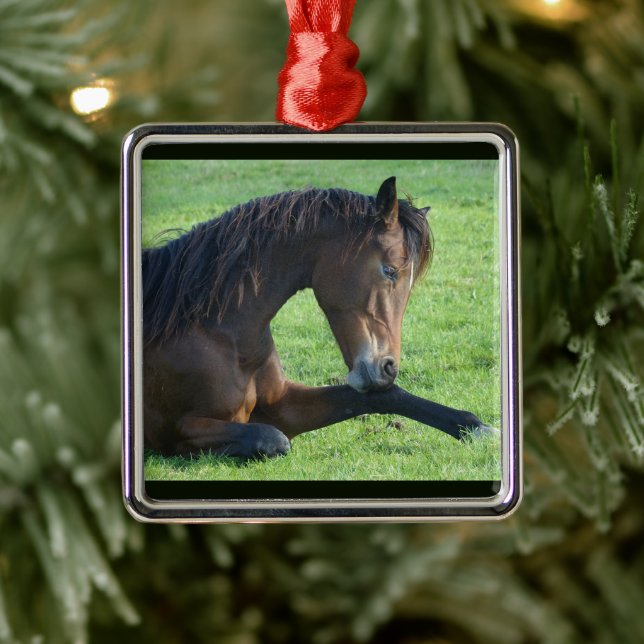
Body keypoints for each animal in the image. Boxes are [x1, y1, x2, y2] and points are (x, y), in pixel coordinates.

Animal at [142, 177, 492, 459]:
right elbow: (273, 439)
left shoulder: (282, 403)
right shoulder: (177, 429)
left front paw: (476, 428)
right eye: (390, 270)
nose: (388, 367)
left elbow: (384, 397)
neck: (216, 330)